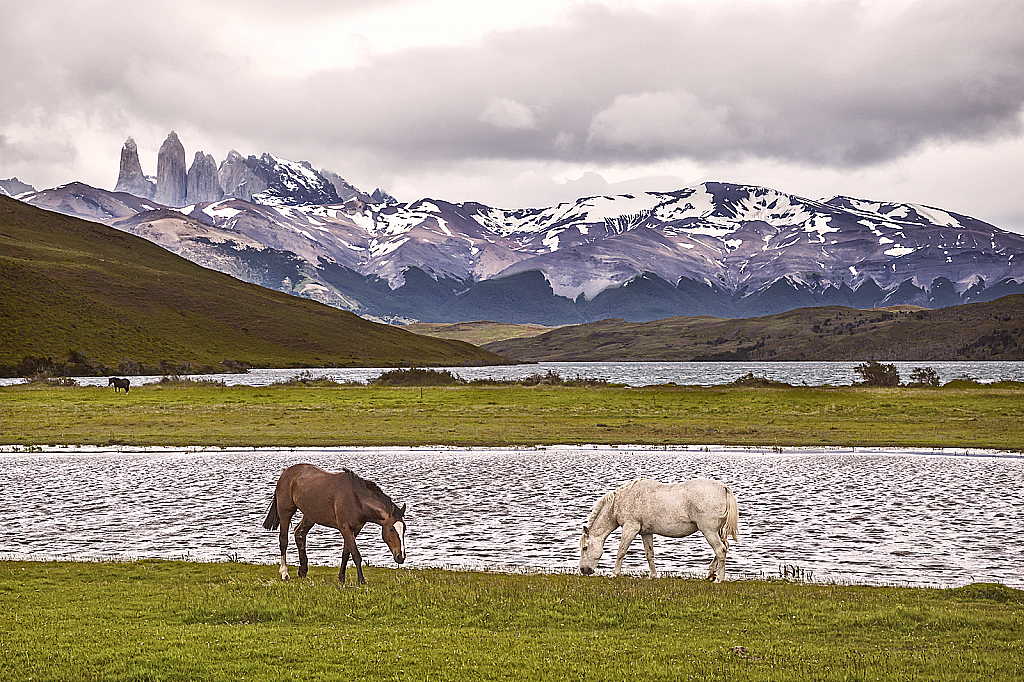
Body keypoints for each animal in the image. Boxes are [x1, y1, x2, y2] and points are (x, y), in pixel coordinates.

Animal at [262, 462, 405, 585]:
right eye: (391, 529)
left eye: (404, 529)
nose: (401, 557)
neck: (356, 499)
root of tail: (286, 473)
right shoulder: (345, 528)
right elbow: (356, 555)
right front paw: (361, 581)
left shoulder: (355, 530)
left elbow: (346, 554)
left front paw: (341, 578)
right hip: (285, 513)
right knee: (283, 541)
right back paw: (284, 573)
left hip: (310, 515)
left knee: (299, 534)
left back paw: (303, 570)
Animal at [581, 477, 741, 577]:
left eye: (585, 548)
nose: (583, 570)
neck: (622, 501)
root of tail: (723, 488)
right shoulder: (645, 533)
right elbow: (649, 554)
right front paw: (653, 575)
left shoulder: (630, 528)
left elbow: (621, 551)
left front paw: (615, 573)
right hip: (717, 531)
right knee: (724, 547)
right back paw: (711, 573)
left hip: (709, 531)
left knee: (720, 550)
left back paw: (719, 578)